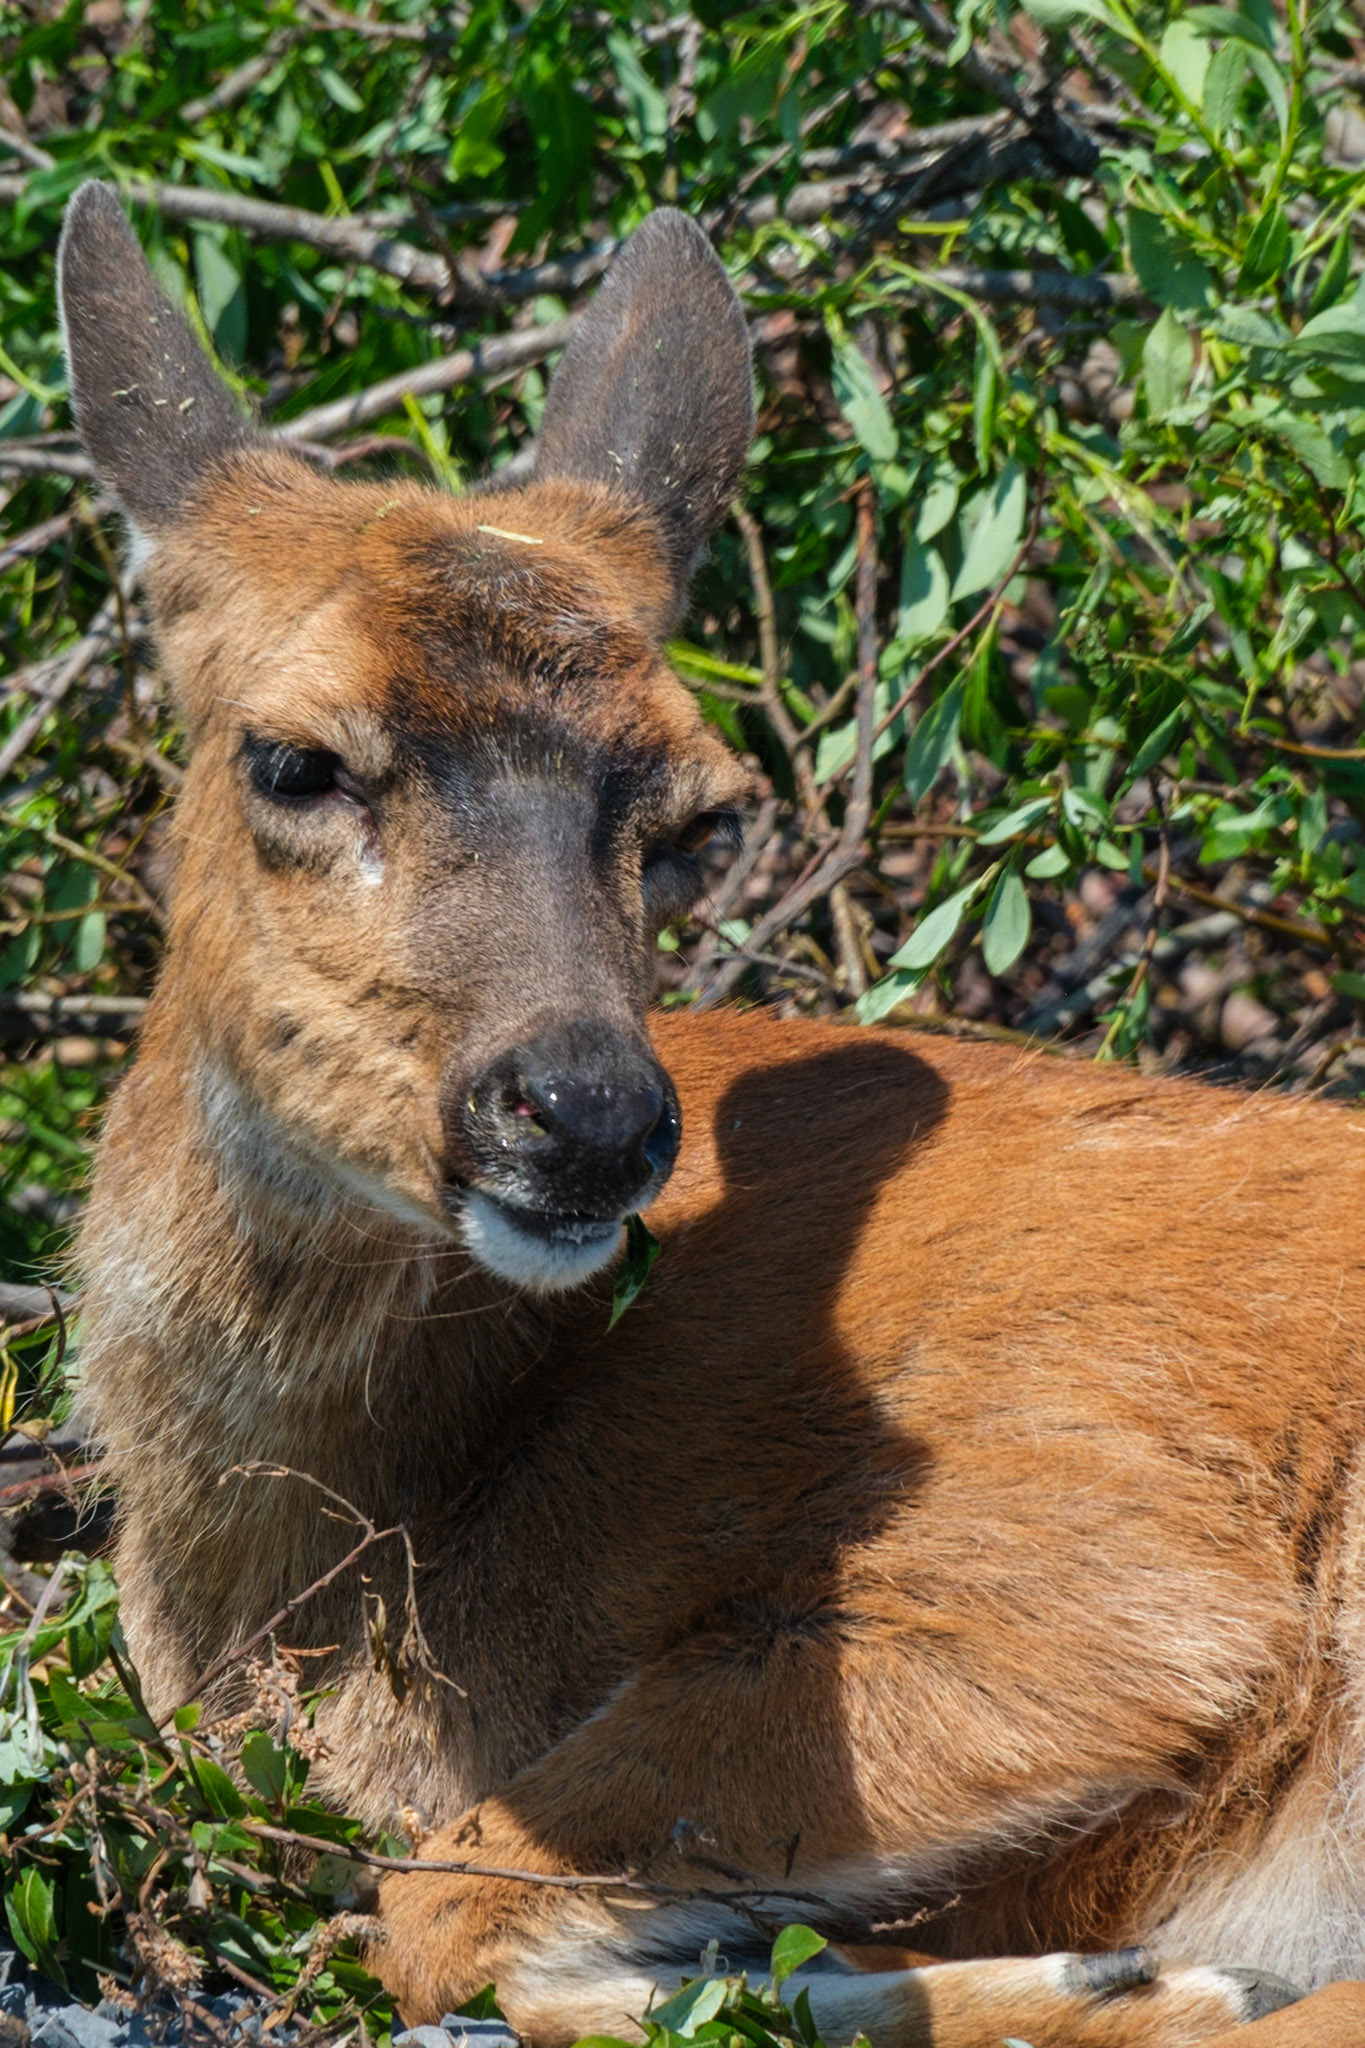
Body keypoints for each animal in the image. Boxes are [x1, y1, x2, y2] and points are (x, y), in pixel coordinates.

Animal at [53, 179, 1365, 2048]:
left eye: (693, 812)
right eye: (294, 759)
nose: (588, 1113)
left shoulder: (1116, 1555)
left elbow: (428, 1905)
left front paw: (1105, 1967)